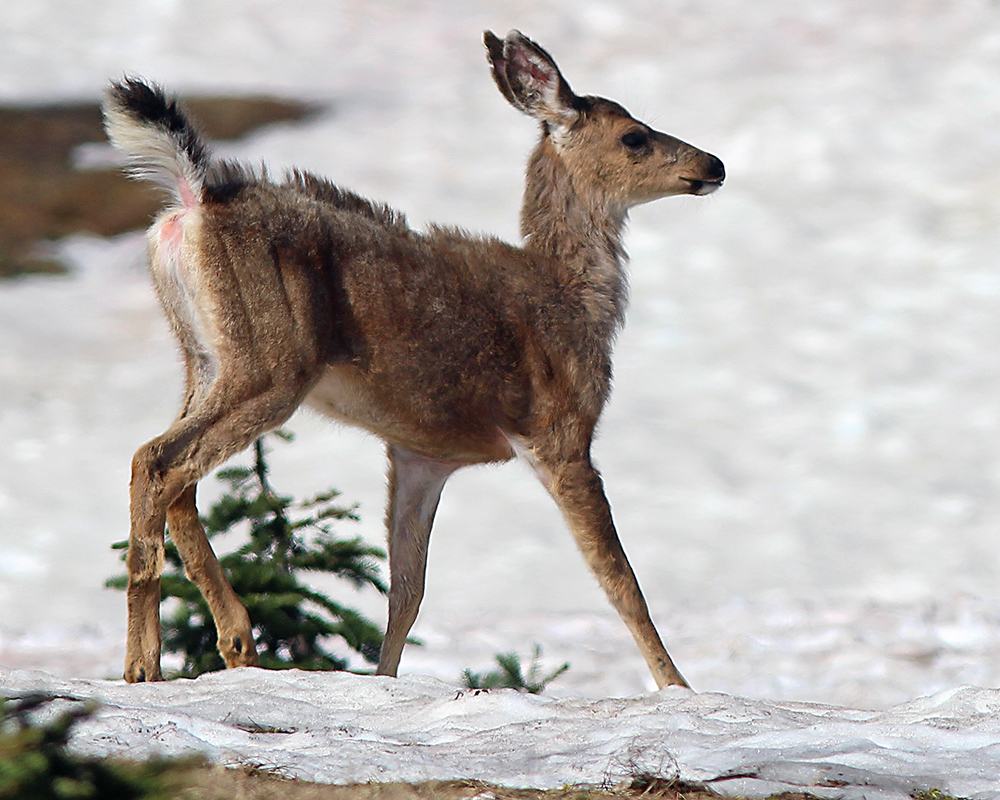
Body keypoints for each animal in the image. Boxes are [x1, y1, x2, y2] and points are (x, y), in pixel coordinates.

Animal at [101, 29, 724, 688]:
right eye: (634, 135)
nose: (714, 165)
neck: (572, 297)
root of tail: (191, 200)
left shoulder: (420, 453)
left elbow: (407, 591)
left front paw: (383, 681)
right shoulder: (559, 432)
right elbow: (621, 582)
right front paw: (679, 687)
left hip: (203, 358)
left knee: (179, 480)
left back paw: (235, 641)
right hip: (271, 362)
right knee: (156, 462)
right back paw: (146, 664)